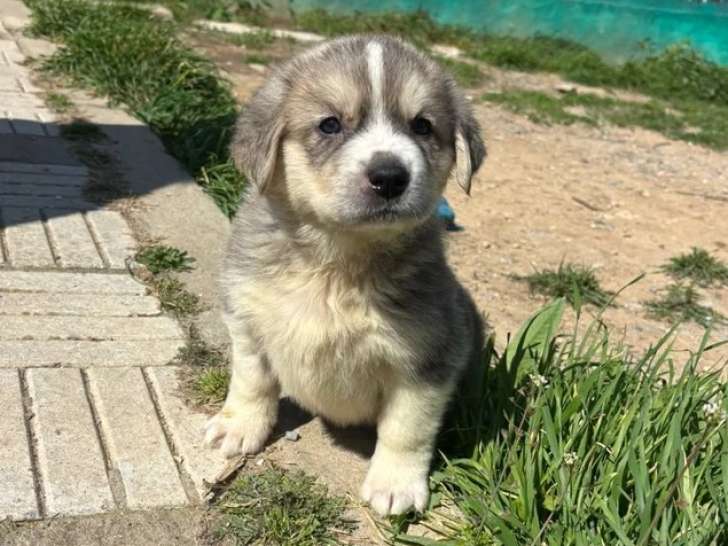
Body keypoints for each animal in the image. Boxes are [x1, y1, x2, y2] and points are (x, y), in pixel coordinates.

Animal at [204, 34, 486, 516]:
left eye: (423, 126)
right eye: (330, 125)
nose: (390, 176)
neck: (335, 264)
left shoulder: (428, 360)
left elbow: (407, 428)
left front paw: (395, 484)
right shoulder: (247, 320)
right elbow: (251, 381)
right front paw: (238, 426)